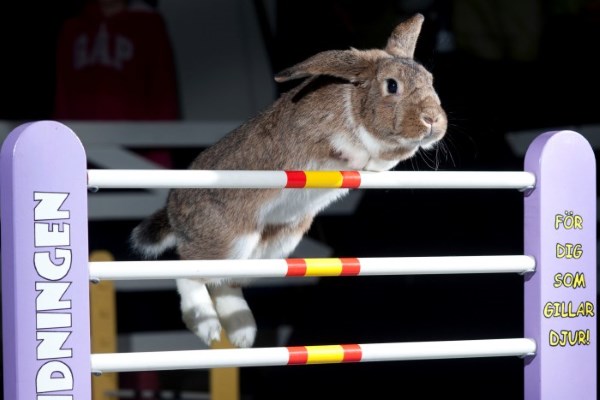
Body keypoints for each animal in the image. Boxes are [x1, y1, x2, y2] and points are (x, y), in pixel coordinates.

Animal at [132, 14, 450, 348]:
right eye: (392, 85)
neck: (354, 100)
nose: (432, 120)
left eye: (430, 80)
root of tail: (172, 211)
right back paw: (205, 325)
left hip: (271, 248)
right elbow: (348, 150)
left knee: (224, 282)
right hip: (227, 241)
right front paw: (357, 156)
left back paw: (243, 333)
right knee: (188, 270)